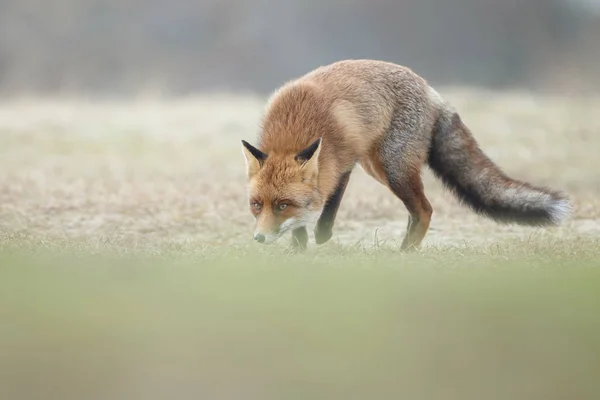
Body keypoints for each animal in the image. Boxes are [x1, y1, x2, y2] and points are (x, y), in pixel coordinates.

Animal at [241, 59, 576, 252]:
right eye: (257, 205)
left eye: (283, 205)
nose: (259, 239)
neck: (294, 128)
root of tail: (431, 90)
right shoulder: (338, 166)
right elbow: (310, 212)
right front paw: (300, 246)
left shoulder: (343, 160)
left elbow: (330, 201)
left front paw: (320, 235)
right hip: (376, 166)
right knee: (417, 212)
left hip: (392, 167)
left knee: (425, 210)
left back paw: (405, 254)